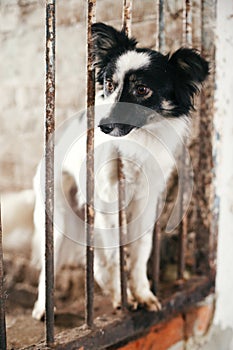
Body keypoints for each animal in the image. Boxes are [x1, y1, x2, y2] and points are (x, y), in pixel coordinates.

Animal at [30, 22, 208, 320]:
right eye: (110, 85)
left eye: (142, 89)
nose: (102, 126)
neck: (135, 141)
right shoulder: (108, 204)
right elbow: (116, 256)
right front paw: (125, 300)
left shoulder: (145, 205)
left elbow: (140, 252)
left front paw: (142, 294)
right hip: (58, 220)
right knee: (49, 266)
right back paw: (44, 307)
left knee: (98, 266)